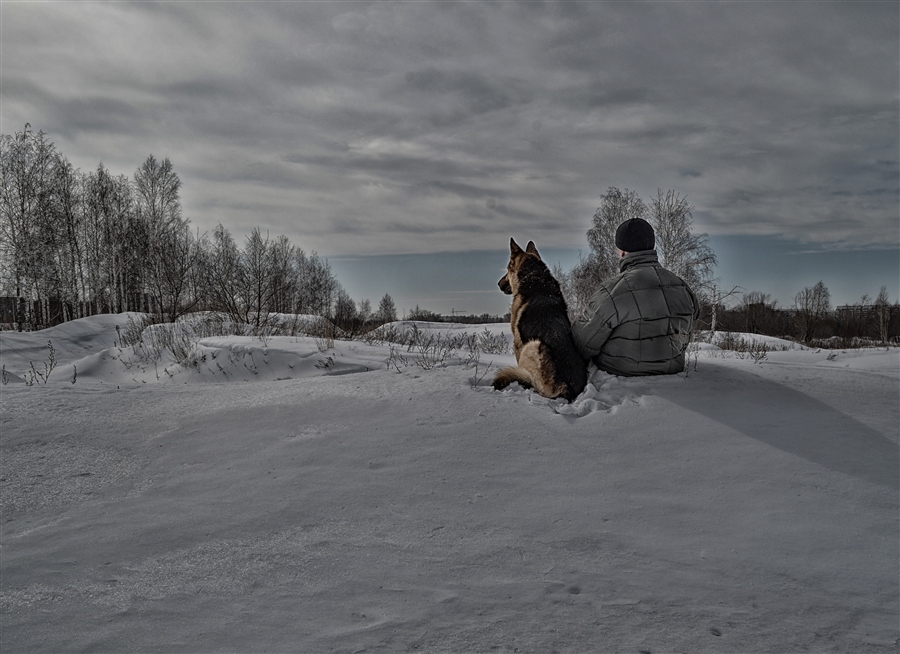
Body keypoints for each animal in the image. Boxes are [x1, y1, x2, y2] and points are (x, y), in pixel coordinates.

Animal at [496, 240, 588, 404]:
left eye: (508, 269)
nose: (498, 284)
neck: (536, 276)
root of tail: (567, 389)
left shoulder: (518, 343)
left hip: (533, 345)